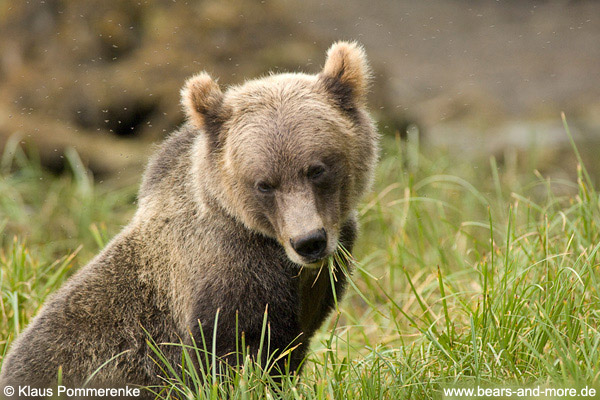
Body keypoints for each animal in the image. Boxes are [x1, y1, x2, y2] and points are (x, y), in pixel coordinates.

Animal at [0, 40, 378, 396]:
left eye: (317, 169)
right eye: (264, 183)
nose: (308, 242)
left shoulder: (323, 277)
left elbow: (291, 349)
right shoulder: (227, 274)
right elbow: (228, 357)